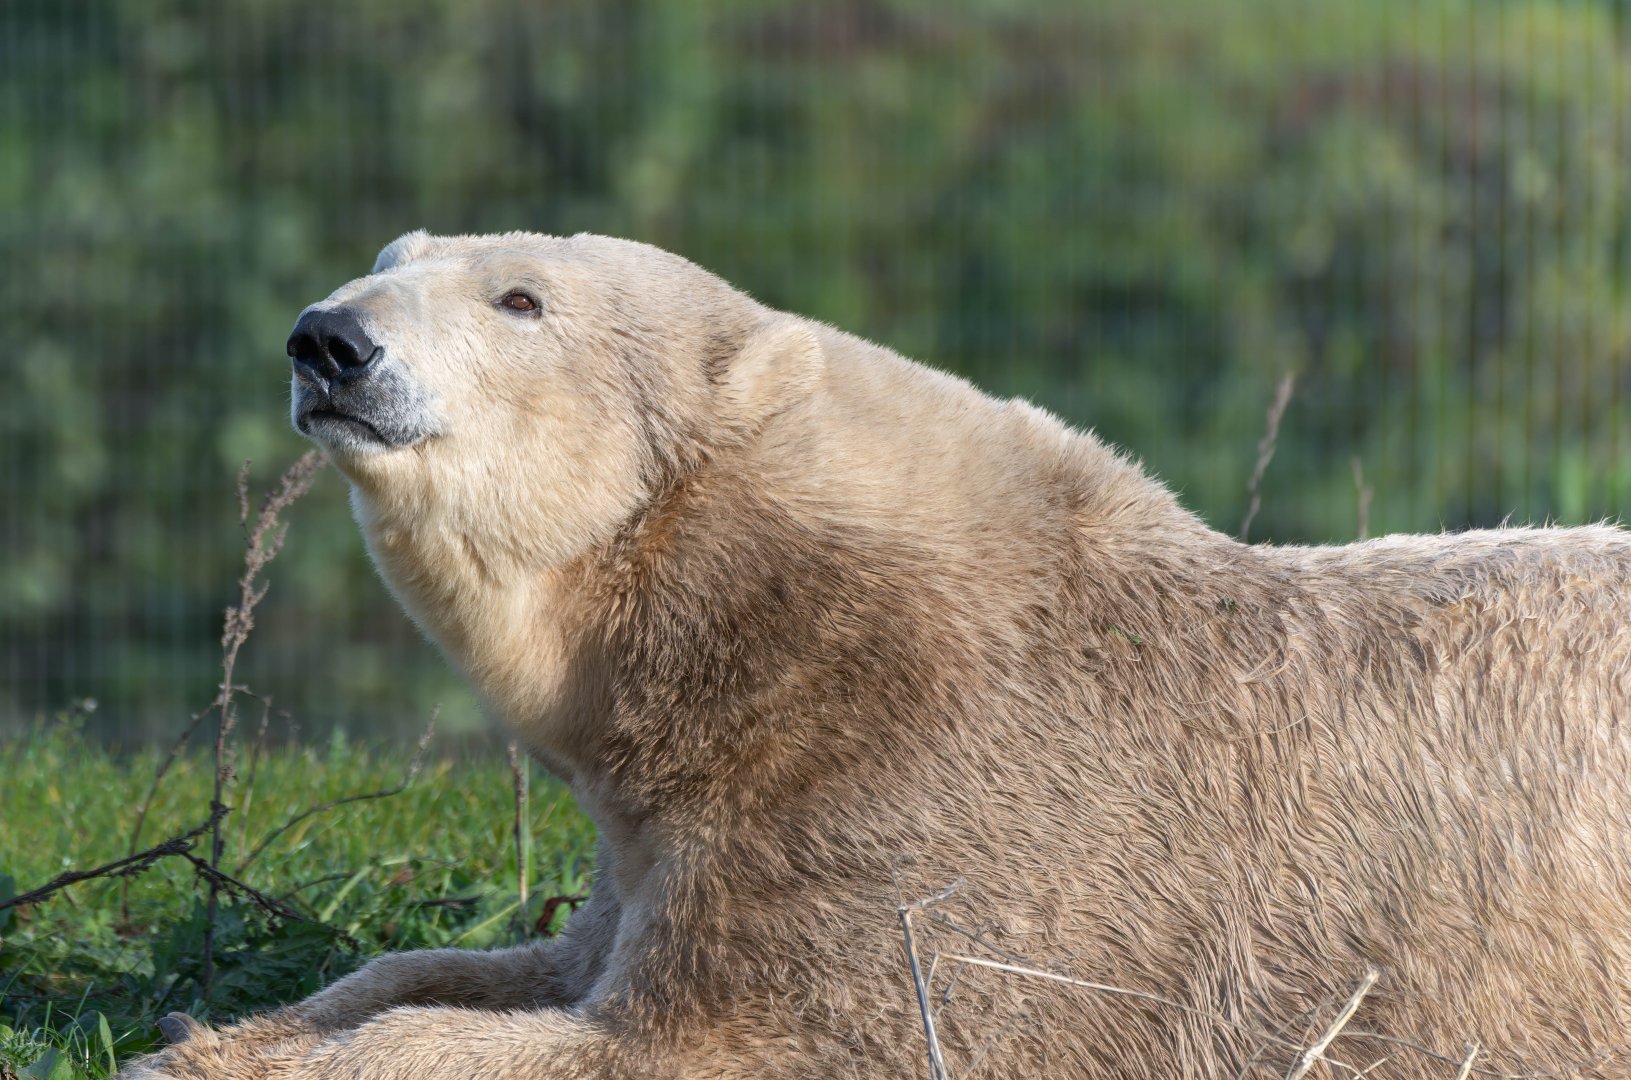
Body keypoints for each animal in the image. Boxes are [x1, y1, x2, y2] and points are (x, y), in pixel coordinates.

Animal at [125, 230, 1631, 1079]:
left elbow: (686, 1040)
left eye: (519, 300)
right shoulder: (671, 827)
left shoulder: (908, 822)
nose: (330, 341)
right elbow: (504, 967)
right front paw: (206, 1034)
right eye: (388, 260)